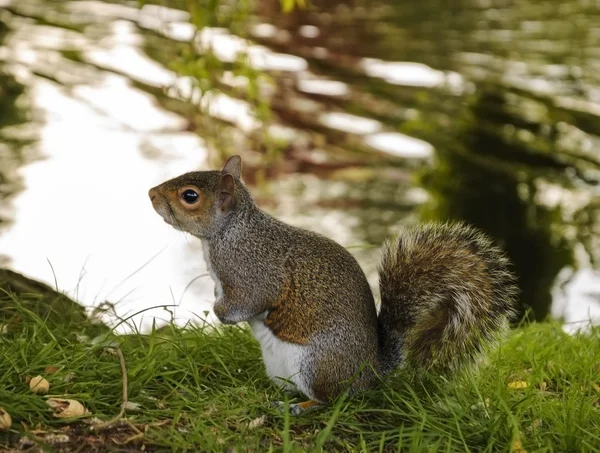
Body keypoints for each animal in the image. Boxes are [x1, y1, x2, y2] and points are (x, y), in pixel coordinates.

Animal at [148, 154, 516, 414]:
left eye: (190, 196)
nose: (151, 193)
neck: (228, 232)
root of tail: (371, 373)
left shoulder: (253, 273)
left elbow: (248, 301)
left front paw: (221, 313)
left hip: (317, 365)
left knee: (332, 399)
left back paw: (299, 406)